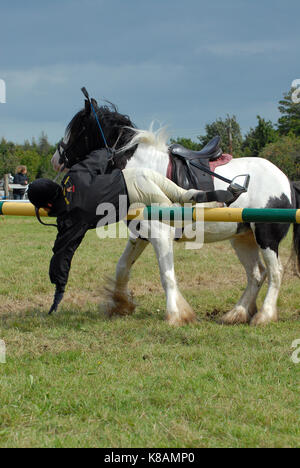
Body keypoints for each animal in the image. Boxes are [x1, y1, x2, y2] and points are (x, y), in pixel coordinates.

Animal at [51, 97, 300, 328]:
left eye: (77, 129)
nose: (56, 160)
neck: (142, 171)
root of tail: (285, 180)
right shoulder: (141, 235)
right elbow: (122, 268)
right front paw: (121, 304)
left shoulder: (161, 235)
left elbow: (167, 276)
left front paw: (175, 315)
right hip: (242, 238)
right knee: (256, 274)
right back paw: (237, 313)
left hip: (266, 236)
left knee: (275, 272)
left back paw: (264, 316)